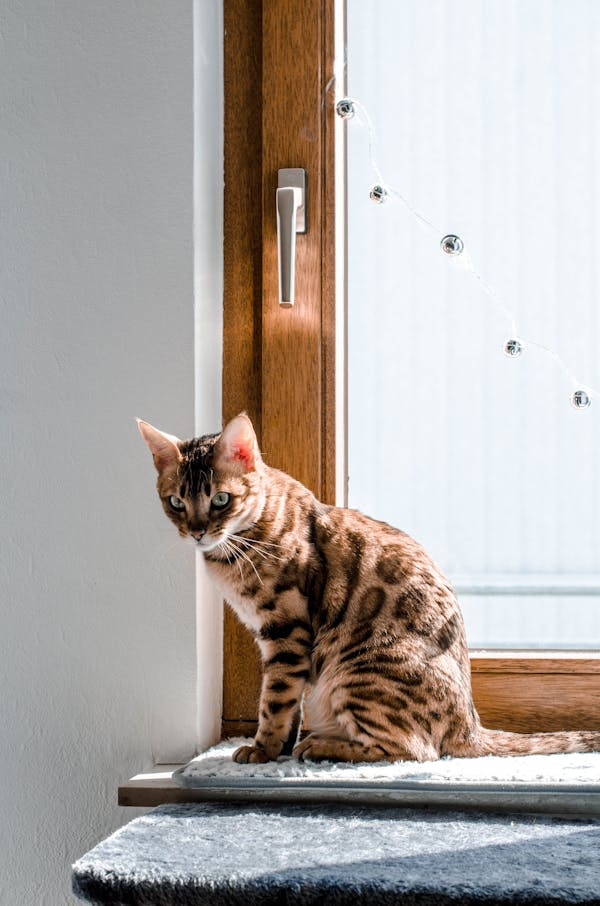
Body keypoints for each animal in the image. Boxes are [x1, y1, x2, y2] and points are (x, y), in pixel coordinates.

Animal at [137, 414, 600, 760]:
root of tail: (470, 726)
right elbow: (289, 704)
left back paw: (323, 746)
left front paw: (263, 750)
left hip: (356, 670)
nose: (197, 532)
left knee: (414, 750)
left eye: (221, 500)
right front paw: (277, 749)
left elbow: (275, 700)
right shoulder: (279, 641)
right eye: (176, 502)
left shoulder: (287, 632)